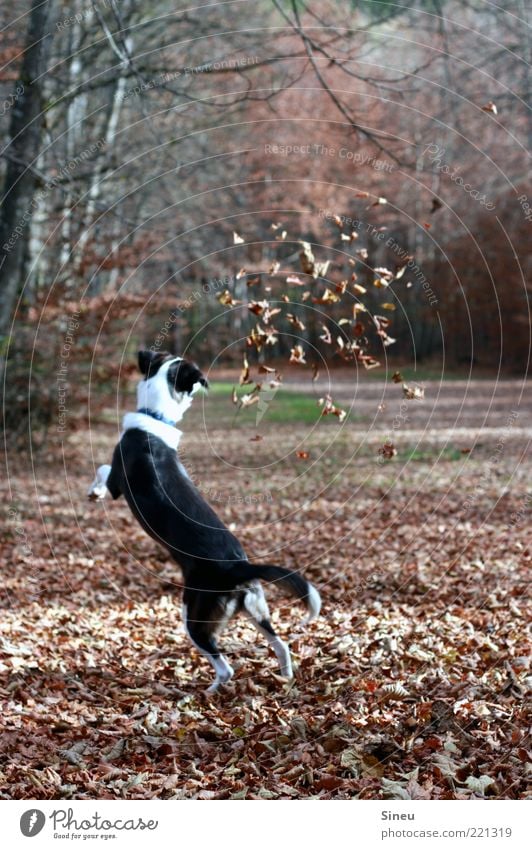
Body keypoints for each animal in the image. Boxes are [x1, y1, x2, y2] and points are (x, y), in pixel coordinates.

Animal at [88, 350, 320, 688]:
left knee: (224, 666)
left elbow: (102, 470)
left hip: (195, 616)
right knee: (281, 644)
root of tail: (238, 566)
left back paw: (209, 690)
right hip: (256, 609)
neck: (156, 416)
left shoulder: (118, 480)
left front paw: (93, 492)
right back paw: (285, 677)